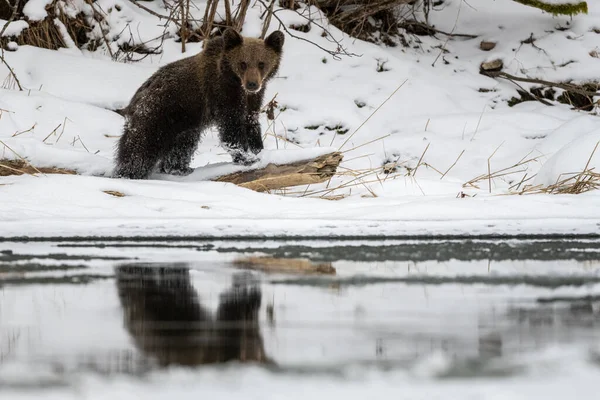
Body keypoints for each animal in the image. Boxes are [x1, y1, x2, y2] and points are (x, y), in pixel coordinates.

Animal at [115, 28, 288, 178]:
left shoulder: (253, 100)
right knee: (140, 147)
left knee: (182, 146)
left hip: (184, 123)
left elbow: (251, 122)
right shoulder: (222, 94)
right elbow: (231, 129)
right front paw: (247, 158)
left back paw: (178, 168)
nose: (252, 84)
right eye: (243, 63)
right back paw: (129, 173)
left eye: (261, 63)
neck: (235, 82)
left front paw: (258, 150)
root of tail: (137, 97)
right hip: (158, 112)